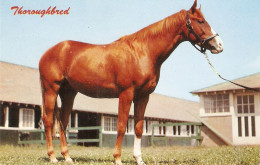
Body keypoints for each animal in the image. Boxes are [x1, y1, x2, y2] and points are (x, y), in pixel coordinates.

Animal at [39, 0, 223, 164]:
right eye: (200, 21)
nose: (219, 45)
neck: (142, 52)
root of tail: (48, 52)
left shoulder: (142, 96)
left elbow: (139, 128)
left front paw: (139, 159)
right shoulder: (126, 94)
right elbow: (121, 125)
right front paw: (117, 158)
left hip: (68, 93)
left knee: (62, 122)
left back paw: (67, 157)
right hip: (51, 89)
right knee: (48, 121)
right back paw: (53, 157)